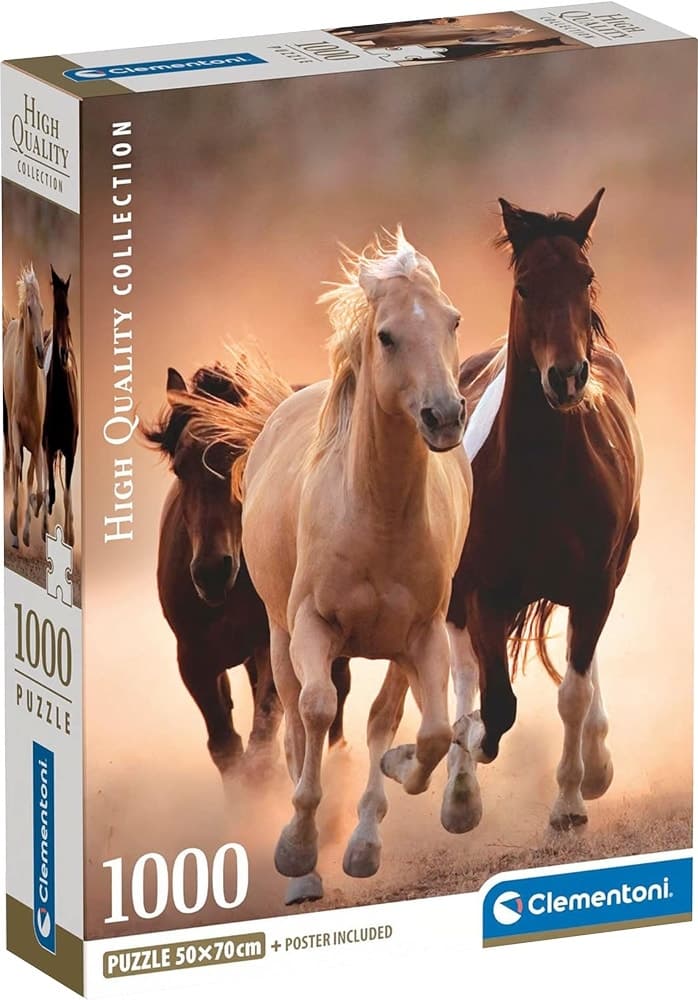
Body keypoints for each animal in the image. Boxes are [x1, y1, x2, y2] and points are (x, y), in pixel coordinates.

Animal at [144, 362, 352, 808]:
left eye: (241, 456)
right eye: (180, 468)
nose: (211, 571)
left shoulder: (272, 644)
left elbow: (261, 742)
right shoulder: (194, 659)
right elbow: (226, 746)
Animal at [195, 229, 471, 901]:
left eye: (452, 321)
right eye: (387, 336)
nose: (445, 416)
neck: (377, 515)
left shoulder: (423, 634)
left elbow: (423, 732)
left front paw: (384, 803)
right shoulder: (312, 628)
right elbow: (316, 715)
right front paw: (297, 850)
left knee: (382, 719)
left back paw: (364, 836)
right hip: (277, 637)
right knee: (298, 724)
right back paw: (305, 867)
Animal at [445, 190, 643, 834]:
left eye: (586, 278)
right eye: (526, 286)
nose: (566, 377)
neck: (541, 477)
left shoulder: (595, 585)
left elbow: (571, 693)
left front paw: (571, 801)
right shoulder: (483, 592)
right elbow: (496, 705)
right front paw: (466, 754)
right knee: (463, 669)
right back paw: (458, 791)